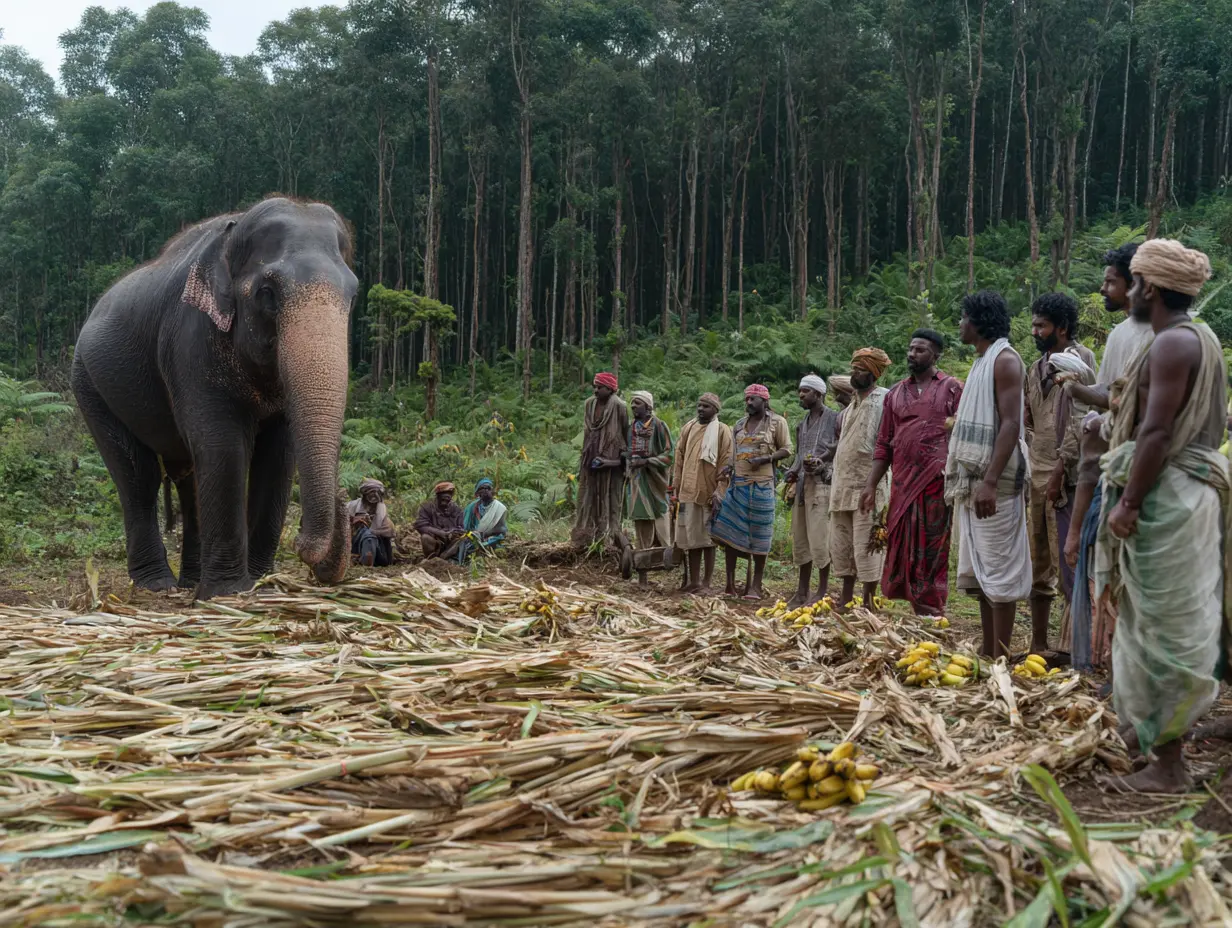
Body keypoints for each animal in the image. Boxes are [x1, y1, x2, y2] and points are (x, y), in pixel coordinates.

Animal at [72, 197, 358, 600]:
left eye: (354, 294)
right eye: (267, 293)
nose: (344, 497)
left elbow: (278, 455)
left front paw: (260, 583)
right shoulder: (190, 340)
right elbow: (222, 444)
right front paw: (228, 593)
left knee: (187, 476)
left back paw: (190, 581)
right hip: (89, 384)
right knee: (138, 476)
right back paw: (156, 585)